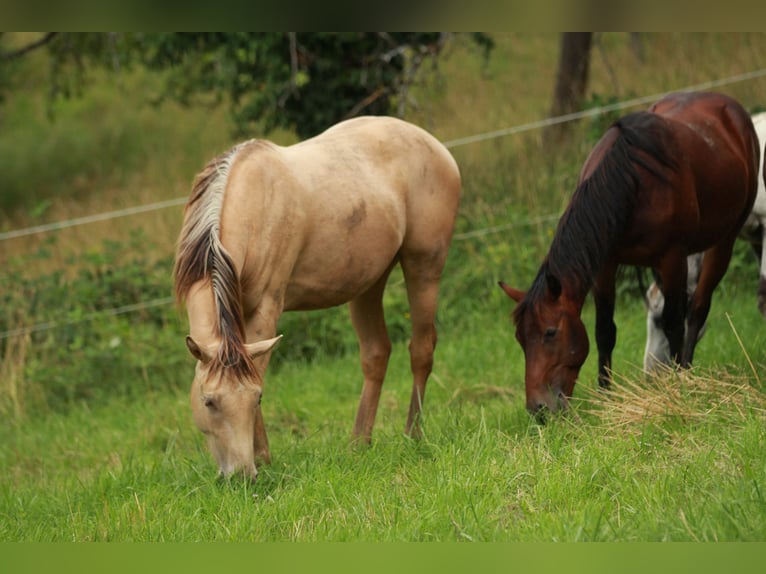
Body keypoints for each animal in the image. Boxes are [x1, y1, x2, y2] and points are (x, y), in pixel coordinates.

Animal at [174, 115, 462, 480]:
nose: (242, 476)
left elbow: (259, 369)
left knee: (421, 350)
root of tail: (438, 148)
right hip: (369, 283)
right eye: (208, 401)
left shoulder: (267, 309)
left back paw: (413, 435)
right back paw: (358, 444)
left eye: (257, 398)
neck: (251, 202)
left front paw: (264, 457)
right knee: (376, 354)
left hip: (423, 267)